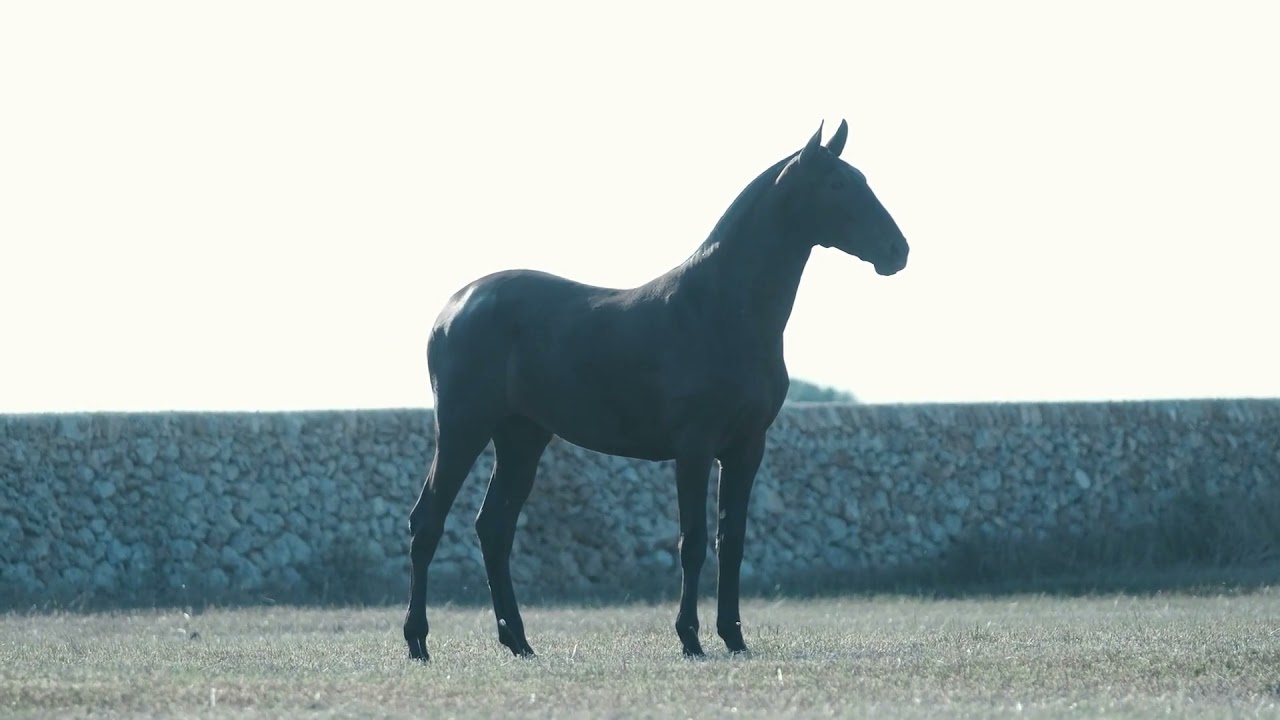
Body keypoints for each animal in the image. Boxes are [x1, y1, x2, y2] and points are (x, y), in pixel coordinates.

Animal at [404, 120, 909, 660]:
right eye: (836, 184)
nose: (898, 250)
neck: (719, 310)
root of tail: (452, 309)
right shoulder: (694, 448)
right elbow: (693, 541)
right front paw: (690, 638)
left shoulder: (746, 447)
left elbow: (731, 542)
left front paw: (733, 636)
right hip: (463, 429)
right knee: (427, 522)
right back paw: (419, 641)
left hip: (521, 439)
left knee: (493, 529)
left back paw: (518, 640)